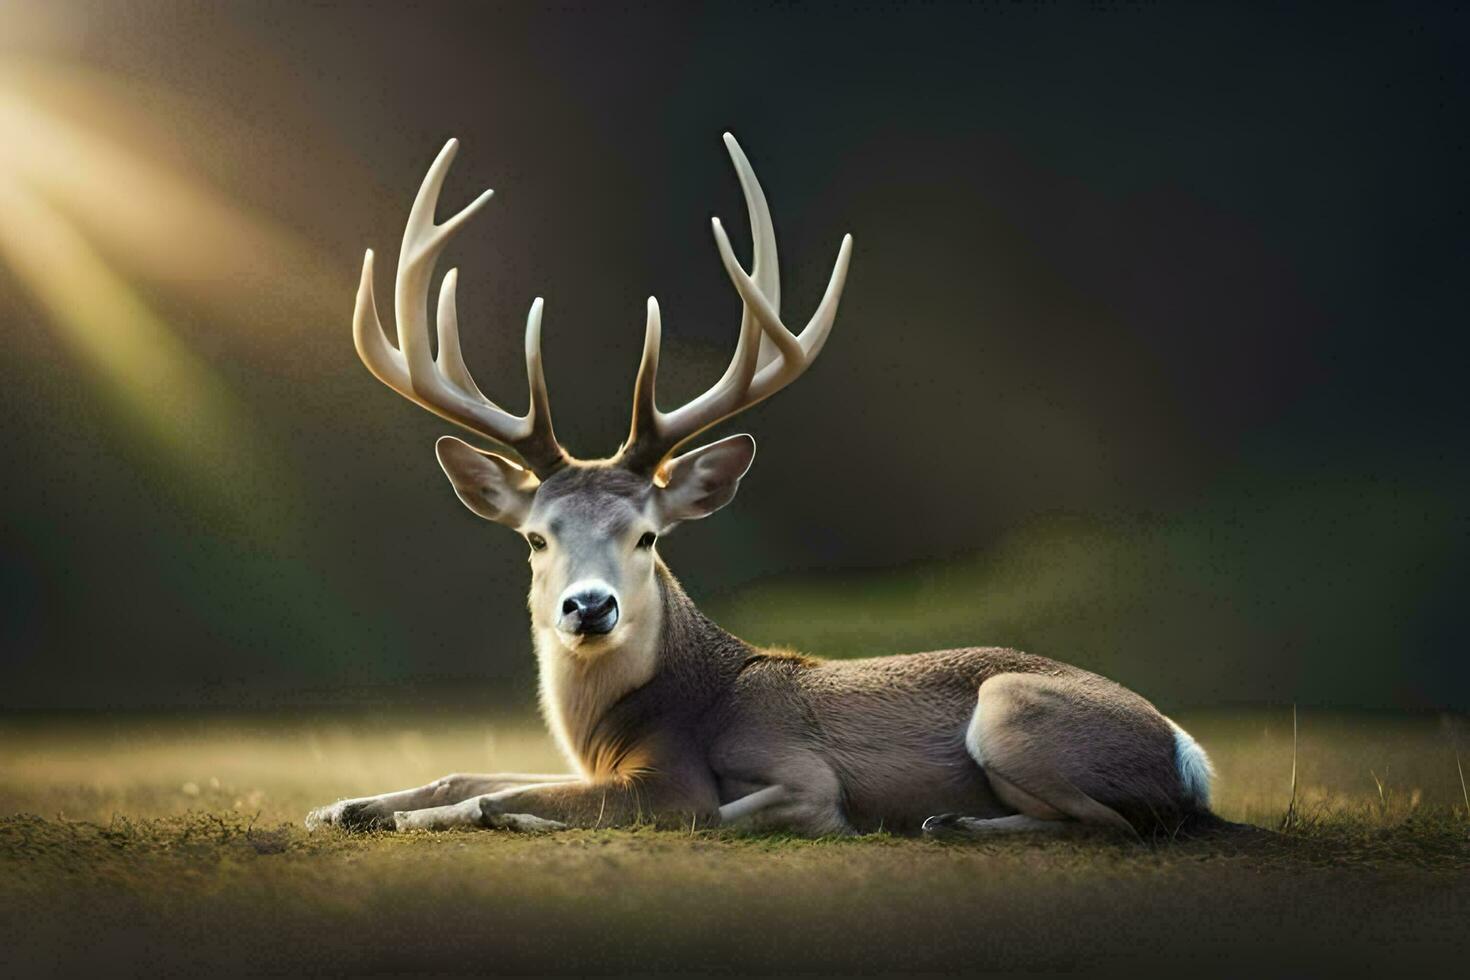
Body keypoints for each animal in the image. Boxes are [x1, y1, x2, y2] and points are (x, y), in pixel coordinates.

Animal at [307, 134, 1217, 846]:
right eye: (536, 536)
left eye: (648, 535)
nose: (589, 607)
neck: (630, 725)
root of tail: (1191, 754)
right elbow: (464, 774)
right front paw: (342, 805)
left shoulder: (761, 774)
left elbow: (652, 805)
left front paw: (453, 816)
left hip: (1009, 710)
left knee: (1118, 823)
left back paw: (954, 820)